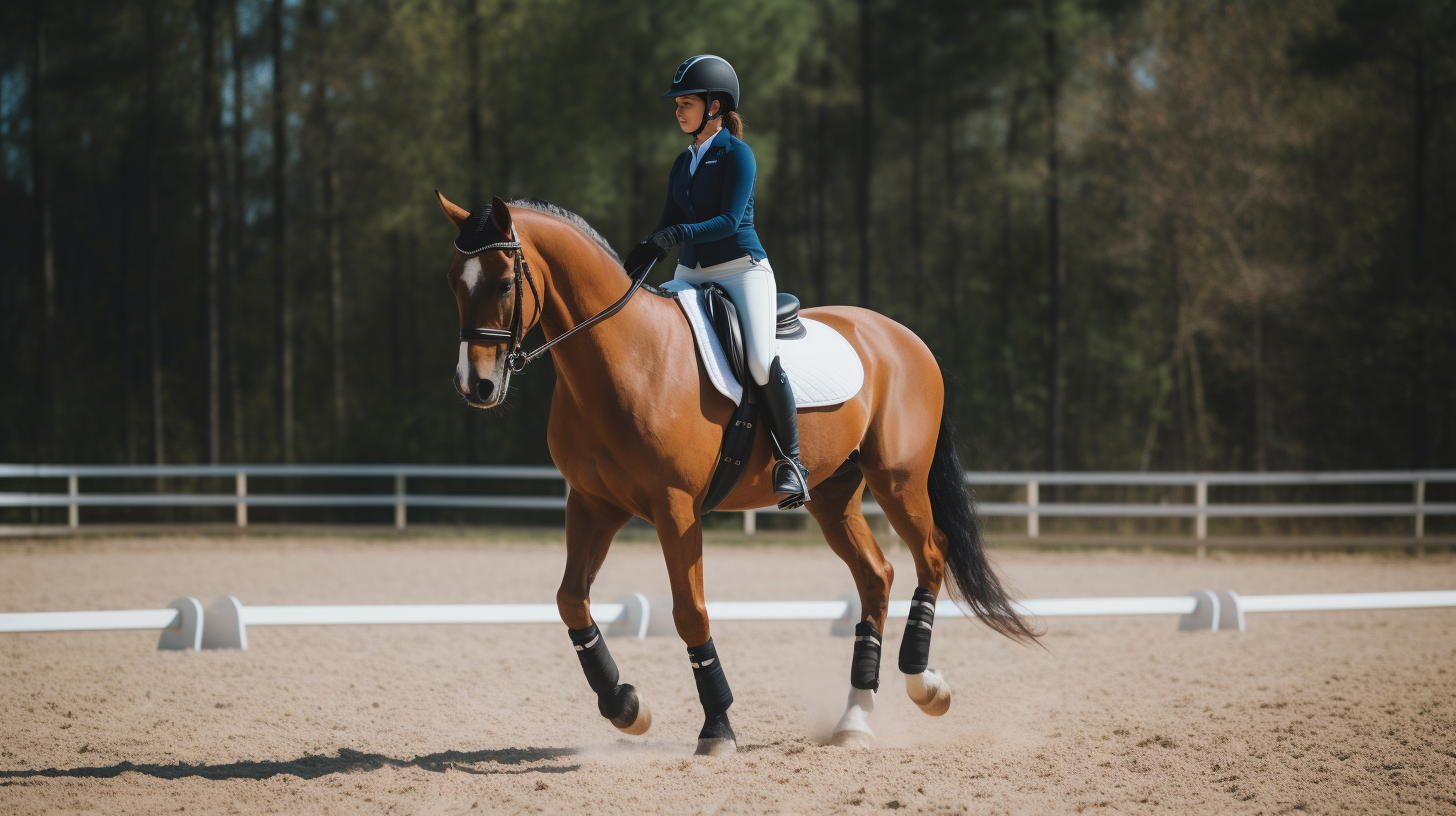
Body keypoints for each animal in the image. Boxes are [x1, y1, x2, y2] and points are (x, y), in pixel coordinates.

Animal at [433, 190, 1036, 751]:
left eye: (504, 285)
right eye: (454, 284)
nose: (475, 386)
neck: (624, 359)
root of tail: (905, 338)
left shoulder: (675, 507)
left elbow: (690, 612)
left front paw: (717, 725)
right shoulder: (592, 503)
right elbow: (570, 600)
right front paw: (626, 705)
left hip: (898, 480)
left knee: (930, 555)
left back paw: (924, 686)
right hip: (833, 495)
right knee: (876, 576)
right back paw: (855, 719)